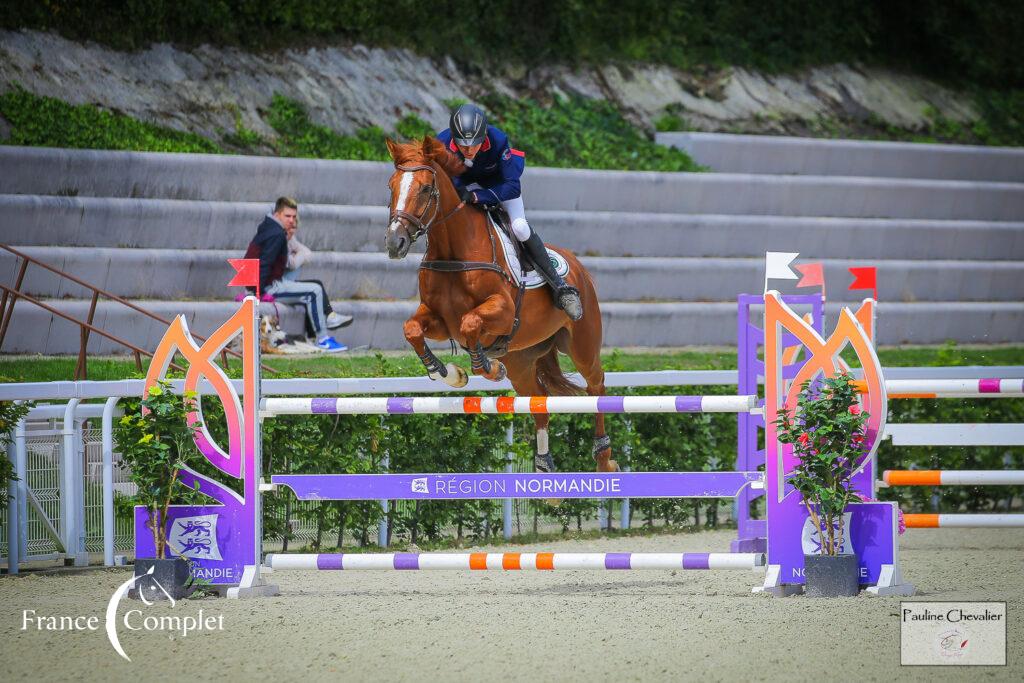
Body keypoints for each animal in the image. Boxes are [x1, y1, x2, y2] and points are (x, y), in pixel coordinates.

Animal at [385, 136, 614, 473]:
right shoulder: (440, 321)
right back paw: (544, 466)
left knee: (596, 386)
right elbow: (412, 328)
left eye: (426, 189)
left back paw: (604, 456)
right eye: (391, 186)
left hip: (582, 344)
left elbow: (471, 323)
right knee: (539, 400)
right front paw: (448, 373)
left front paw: (488, 368)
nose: (394, 243)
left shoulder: (503, 314)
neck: (454, 252)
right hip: (522, 360)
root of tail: (579, 268)